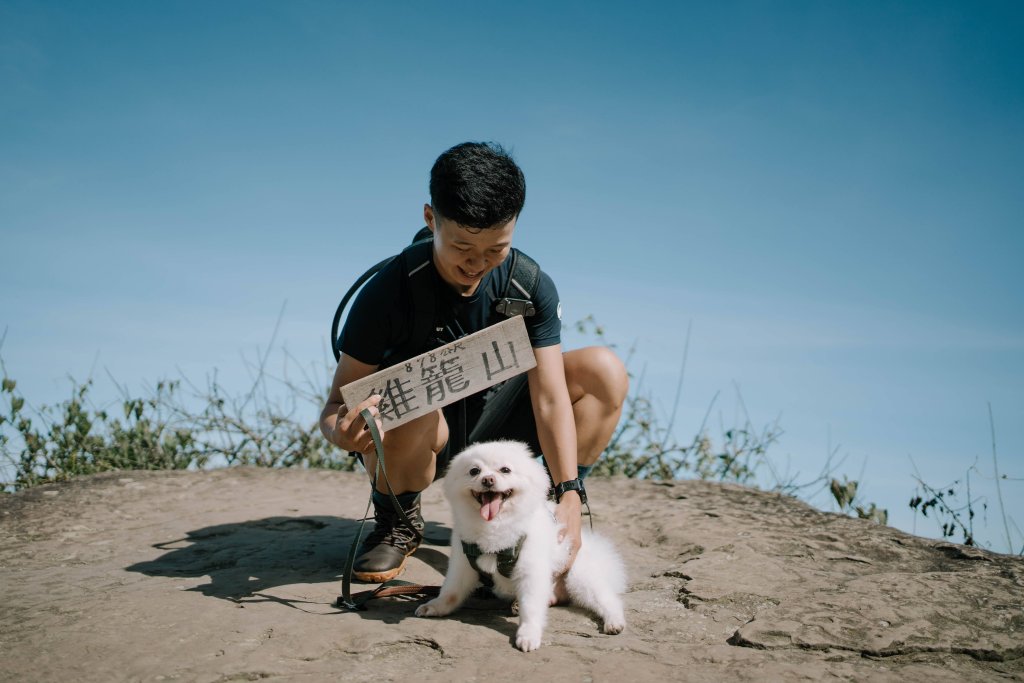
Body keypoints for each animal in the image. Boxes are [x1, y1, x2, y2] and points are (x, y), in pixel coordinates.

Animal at [413, 444, 622, 651]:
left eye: (505, 470)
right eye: (474, 471)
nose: (487, 479)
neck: (494, 526)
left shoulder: (531, 570)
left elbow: (530, 607)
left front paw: (528, 635)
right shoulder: (462, 564)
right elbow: (451, 591)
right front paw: (436, 606)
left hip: (579, 576)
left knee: (608, 600)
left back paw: (614, 621)